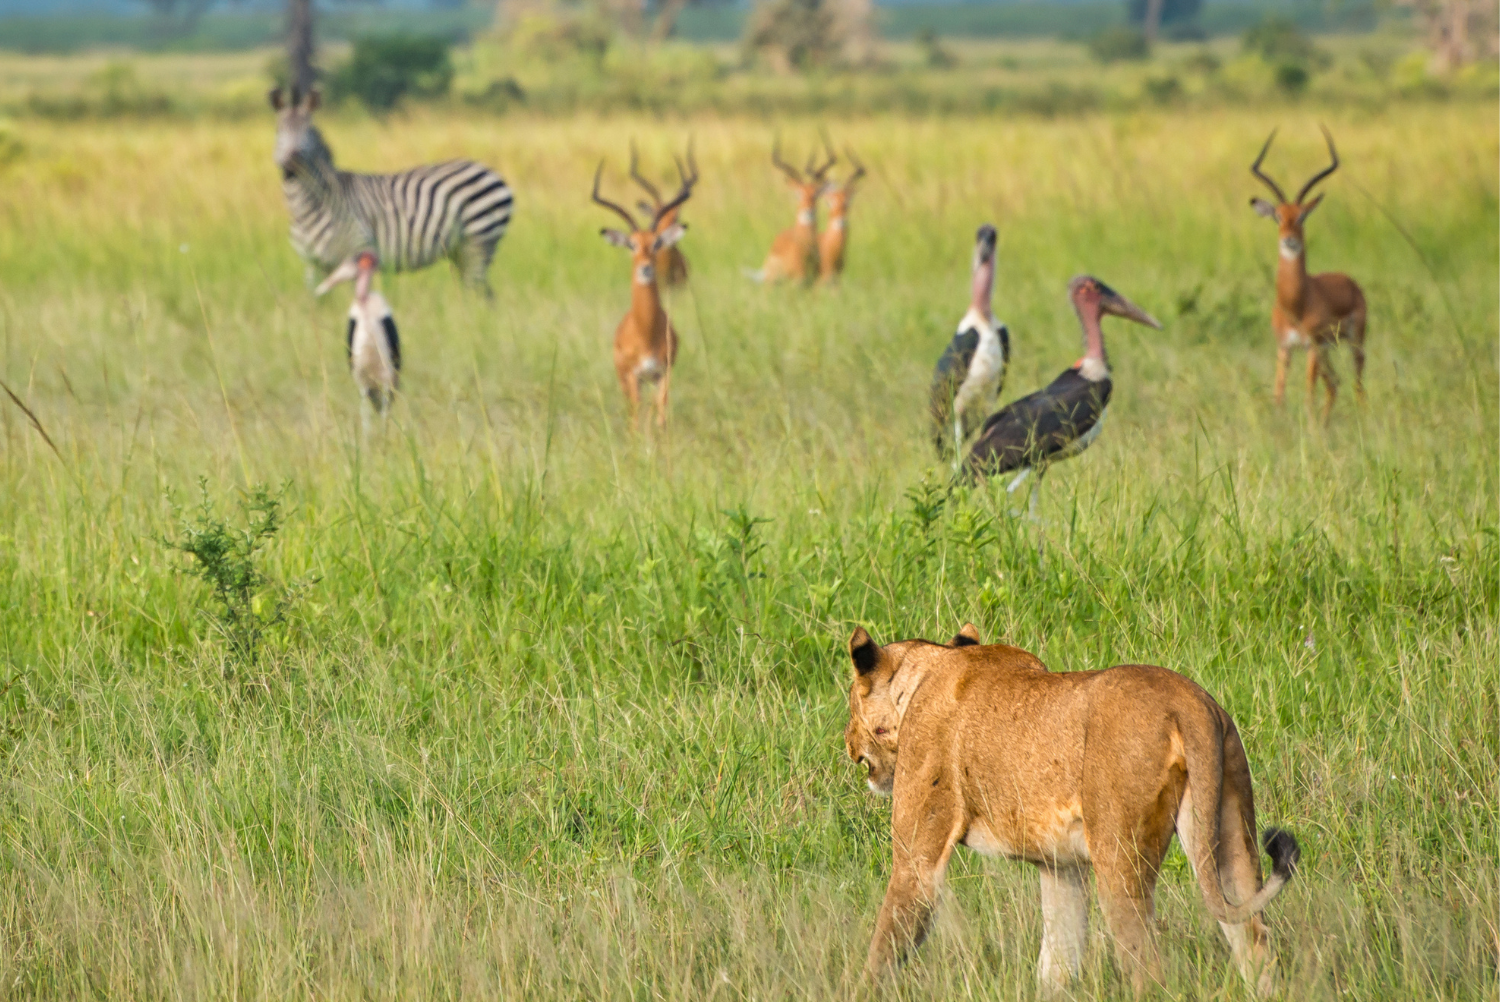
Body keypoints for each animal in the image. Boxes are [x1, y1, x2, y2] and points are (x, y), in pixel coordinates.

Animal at [269, 86, 514, 297]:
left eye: (308, 131)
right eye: (279, 131)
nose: (292, 161)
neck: (308, 205)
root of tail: (491, 171)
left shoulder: (355, 252)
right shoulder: (312, 264)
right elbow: (316, 304)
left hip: (479, 241)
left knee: (477, 292)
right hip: (461, 249)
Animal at [592, 158, 696, 431]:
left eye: (656, 243)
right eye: (632, 244)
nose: (646, 267)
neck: (646, 330)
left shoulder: (663, 374)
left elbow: (661, 417)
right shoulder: (633, 376)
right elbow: (637, 419)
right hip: (625, 379)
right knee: (633, 413)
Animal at [844, 623, 1299, 996]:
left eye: (850, 702)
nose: (847, 743)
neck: (927, 672)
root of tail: (1189, 702)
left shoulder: (919, 857)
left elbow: (886, 943)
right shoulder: (1062, 866)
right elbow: (1058, 960)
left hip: (1120, 859)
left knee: (1148, 968)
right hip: (1230, 834)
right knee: (1253, 937)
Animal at [1249, 126, 1367, 423]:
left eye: (1302, 216)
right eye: (1278, 216)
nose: (1289, 240)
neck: (1295, 304)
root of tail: (1349, 281)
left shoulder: (1312, 347)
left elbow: (1307, 397)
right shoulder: (1285, 348)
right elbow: (1279, 396)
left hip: (1353, 341)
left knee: (1357, 383)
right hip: (1327, 351)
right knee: (1334, 384)